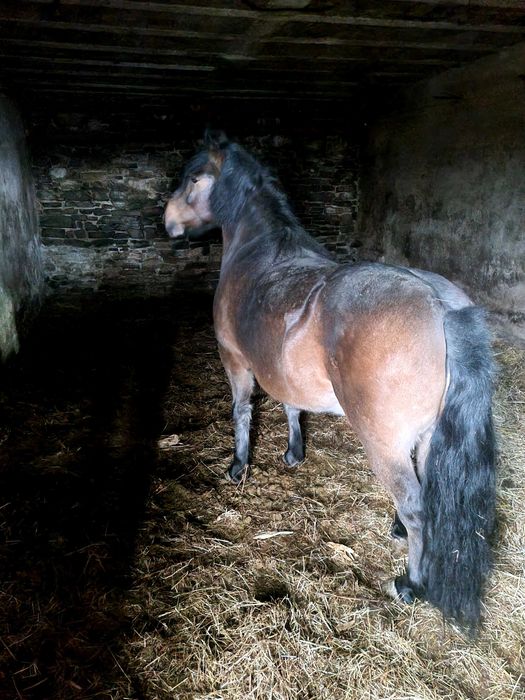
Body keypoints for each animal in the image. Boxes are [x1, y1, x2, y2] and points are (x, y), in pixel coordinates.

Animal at [164, 131, 496, 632]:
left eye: (194, 178)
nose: (167, 220)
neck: (258, 252)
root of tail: (442, 308)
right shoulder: (282, 373)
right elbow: (290, 406)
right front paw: (294, 453)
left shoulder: (235, 359)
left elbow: (242, 411)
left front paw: (238, 466)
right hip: (427, 436)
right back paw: (397, 530)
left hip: (383, 442)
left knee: (416, 505)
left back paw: (411, 583)